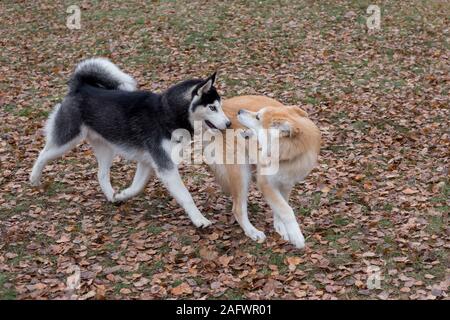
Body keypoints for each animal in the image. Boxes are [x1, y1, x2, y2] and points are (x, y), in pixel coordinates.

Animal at [209, 94, 322, 249]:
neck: (285, 156)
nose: (239, 111)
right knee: (237, 209)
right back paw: (252, 232)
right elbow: (286, 210)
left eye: (258, 117)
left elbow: (281, 206)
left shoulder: (286, 184)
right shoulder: (265, 183)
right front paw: (296, 237)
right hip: (242, 173)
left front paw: (281, 228)